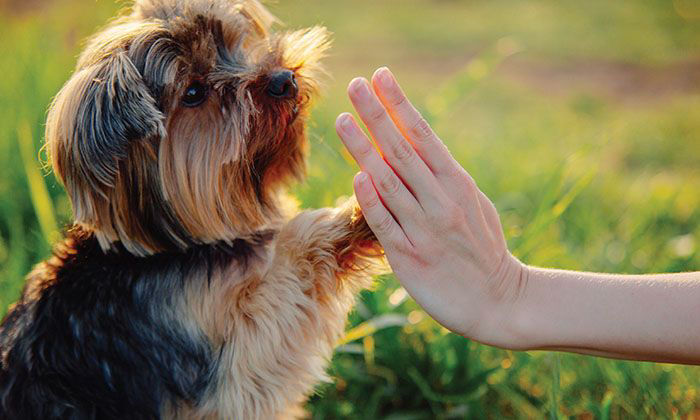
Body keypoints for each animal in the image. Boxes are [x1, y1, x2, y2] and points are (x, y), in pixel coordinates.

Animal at [0, 1, 382, 418]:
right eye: (194, 92)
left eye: (233, 45)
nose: (284, 80)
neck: (176, 246)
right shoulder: (226, 374)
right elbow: (281, 289)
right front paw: (358, 214)